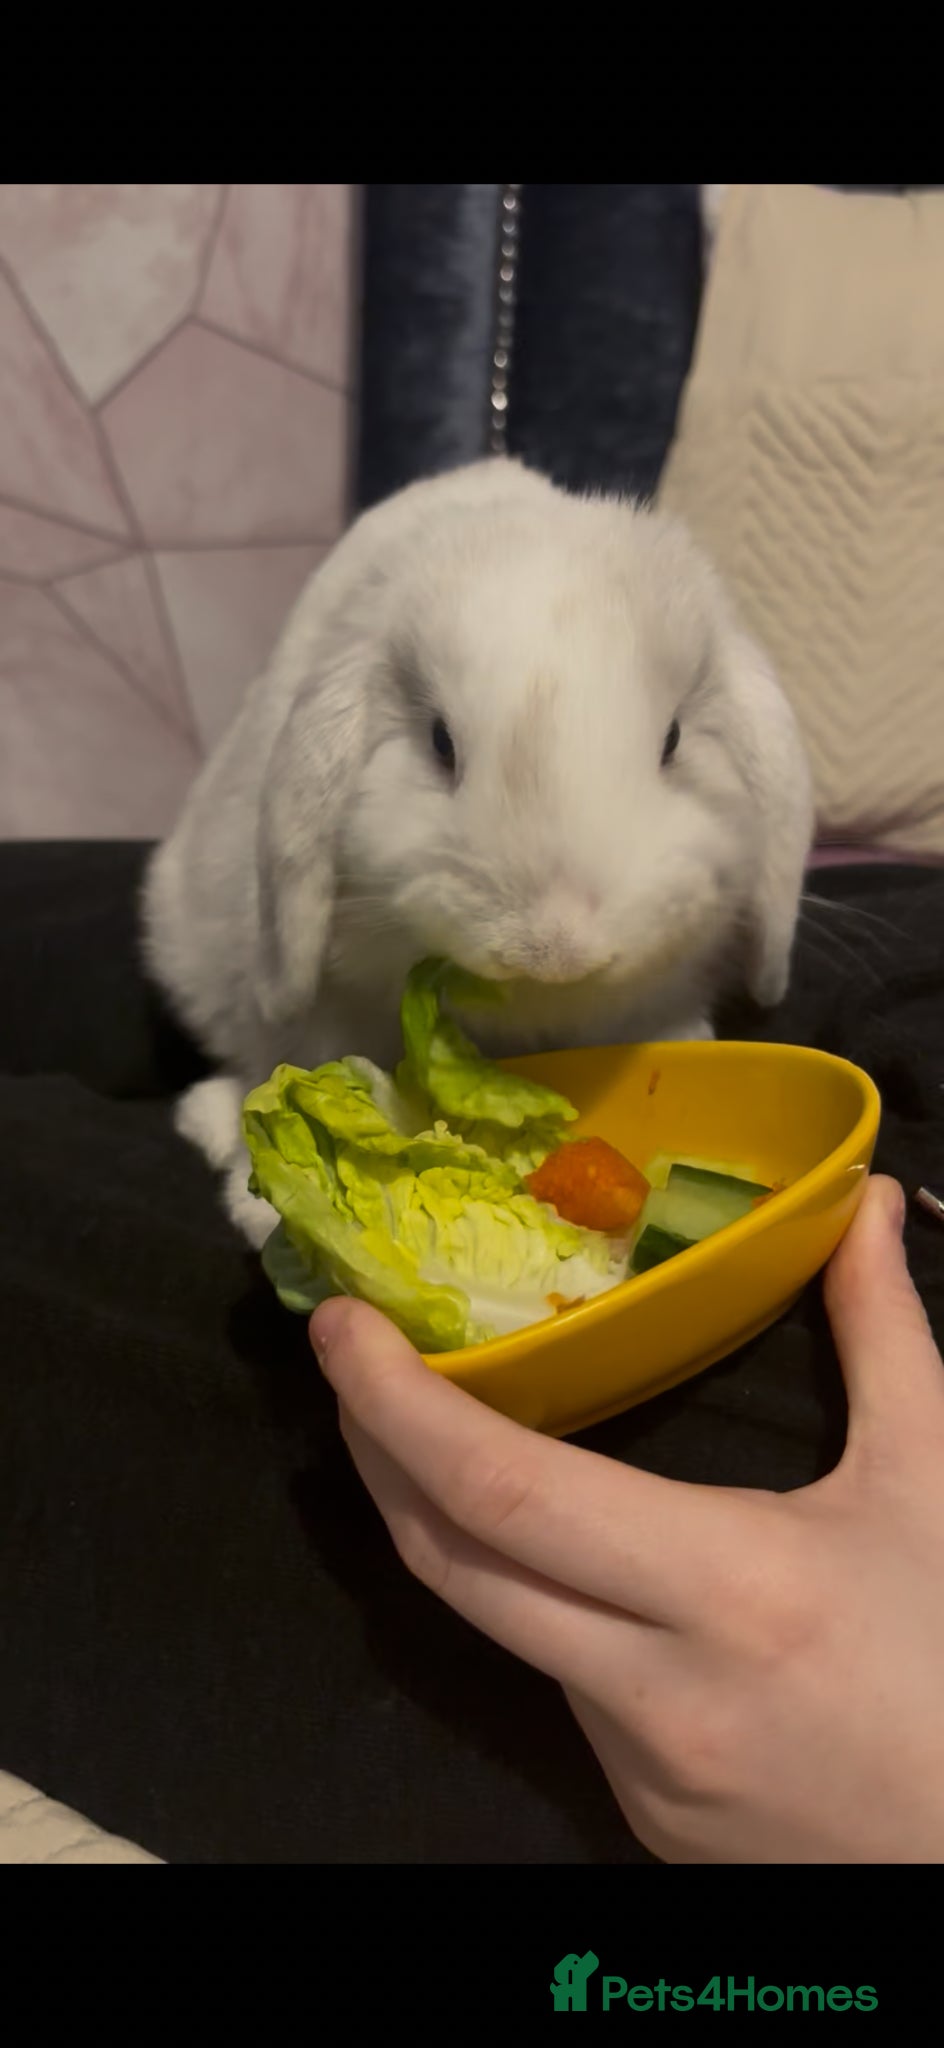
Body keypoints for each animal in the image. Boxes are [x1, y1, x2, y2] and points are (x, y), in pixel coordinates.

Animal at [142, 456, 814, 1248]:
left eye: (673, 741)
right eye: (440, 743)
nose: (554, 948)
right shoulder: (330, 1010)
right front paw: (265, 1208)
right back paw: (210, 1119)